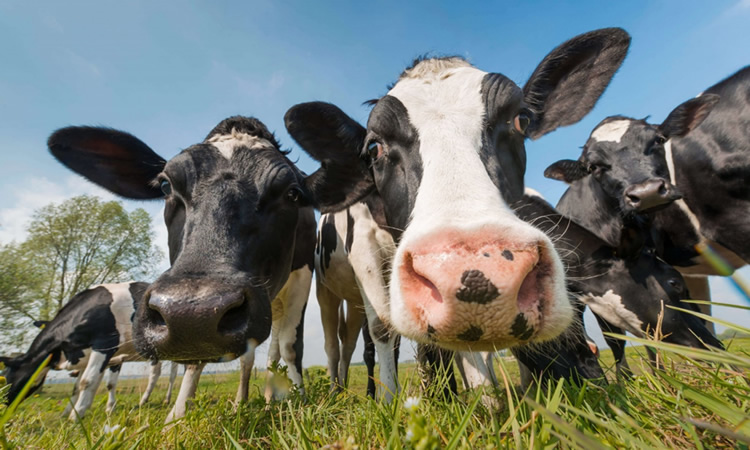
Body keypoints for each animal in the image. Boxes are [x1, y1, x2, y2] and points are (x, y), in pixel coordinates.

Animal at [0, 282, 169, 419]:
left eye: (6, 380)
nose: (3, 408)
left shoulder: (105, 344)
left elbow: (88, 381)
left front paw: (76, 416)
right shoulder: (88, 354)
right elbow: (78, 387)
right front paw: (68, 412)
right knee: (157, 373)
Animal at [48, 116, 322, 421]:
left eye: (293, 193)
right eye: (165, 185)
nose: (192, 313)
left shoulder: (302, 275)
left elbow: (290, 346)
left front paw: (299, 402)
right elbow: (197, 360)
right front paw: (176, 417)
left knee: (274, 349)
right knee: (249, 358)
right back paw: (243, 401)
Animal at [284, 28, 631, 353]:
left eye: (521, 119)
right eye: (373, 147)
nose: (479, 273)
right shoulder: (364, 253)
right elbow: (383, 329)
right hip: (326, 291)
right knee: (336, 345)